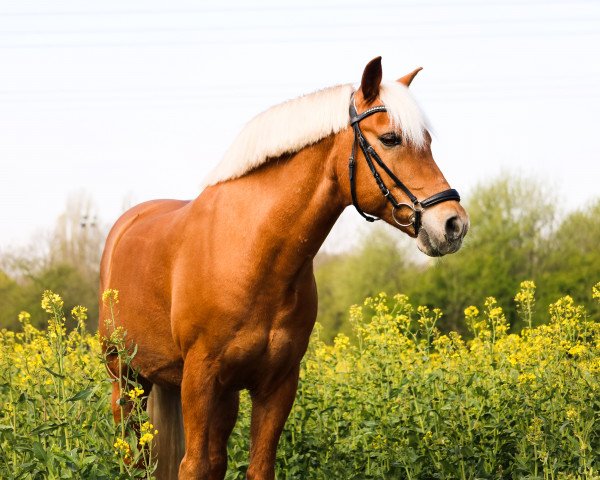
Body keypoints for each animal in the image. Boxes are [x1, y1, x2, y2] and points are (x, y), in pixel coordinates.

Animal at [98, 57, 468, 480]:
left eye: (427, 142)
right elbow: (192, 466)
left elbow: (255, 466)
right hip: (126, 379)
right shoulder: (200, 378)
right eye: (391, 139)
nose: (453, 224)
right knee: (136, 458)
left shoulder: (277, 383)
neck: (253, 253)